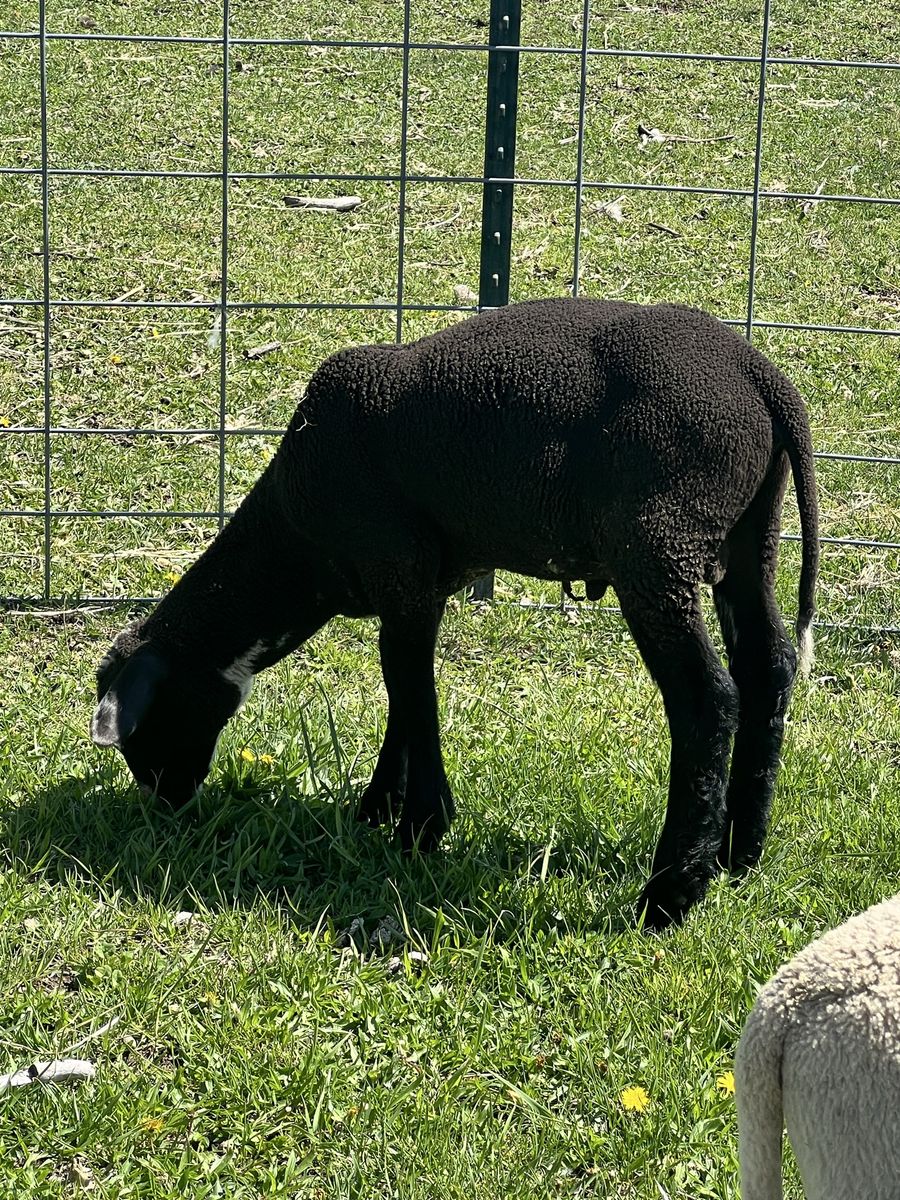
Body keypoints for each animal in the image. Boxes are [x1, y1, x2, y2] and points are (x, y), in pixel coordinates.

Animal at [90, 297, 819, 929]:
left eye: (146, 725)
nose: (168, 803)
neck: (298, 546)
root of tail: (761, 380)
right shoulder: (423, 583)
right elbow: (402, 688)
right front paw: (379, 809)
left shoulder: (396, 563)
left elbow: (411, 687)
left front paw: (418, 828)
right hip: (748, 537)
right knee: (768, 668)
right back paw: (740, 853)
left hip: (659, 541)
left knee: (706, 700)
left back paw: (669, 895)